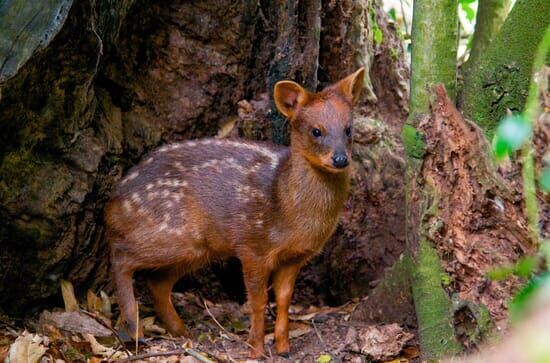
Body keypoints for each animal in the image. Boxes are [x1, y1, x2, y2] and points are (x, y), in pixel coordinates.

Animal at [106, 67, 366, 356]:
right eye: (316, 131)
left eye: (349, 129)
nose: (340, 159)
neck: (288, 206)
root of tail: (113, 203)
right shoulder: (252, 245)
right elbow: (257, 300)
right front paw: (255, 349)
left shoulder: (294, 257)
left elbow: (284, 299)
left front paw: (283, 346)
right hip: (170, 232)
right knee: (121, 256)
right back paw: (133, 326)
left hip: (196, 248)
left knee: (157, 282)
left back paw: (180, 331)